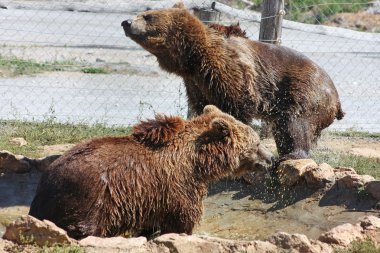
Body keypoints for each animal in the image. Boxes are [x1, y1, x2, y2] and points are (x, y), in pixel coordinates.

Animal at [29, 105, 274, 239]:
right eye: (256, 143)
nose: (271, 159)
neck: (199, 163)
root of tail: (46, 179)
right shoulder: (177, 185)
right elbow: (183, 219)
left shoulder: (151, 198)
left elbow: (152, 224)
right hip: (90, 196)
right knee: (84, 226)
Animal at [121, 5, 344, 160]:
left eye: (148, 16)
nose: (126, 22)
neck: (192, 59)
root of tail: (336, 98)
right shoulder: (195, 83)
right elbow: (202, 106)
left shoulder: (226, 70)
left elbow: (234, 106)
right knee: (284, 127)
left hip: (304, 91)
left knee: (295, 122)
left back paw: (291, 154)